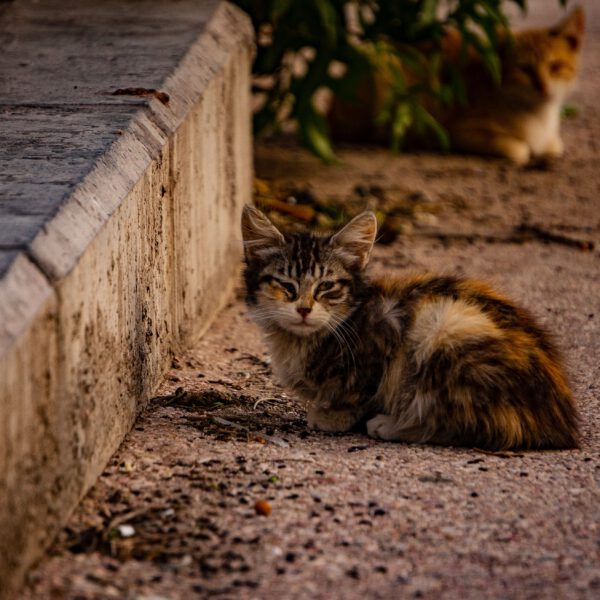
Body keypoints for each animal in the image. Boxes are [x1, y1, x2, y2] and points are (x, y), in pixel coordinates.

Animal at [241, 204, 580, 448]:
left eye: (327, 286)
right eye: (286, 285)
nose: (303, 309)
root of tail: (558, 422)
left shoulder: (383, 340)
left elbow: (360, 389)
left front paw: (334, 415)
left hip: (443, 325)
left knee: (481, 426)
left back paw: (393, 425)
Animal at [328, 7, 584, 166]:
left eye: (555, 66)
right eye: (525, 69)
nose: (543, 88)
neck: (539, 115)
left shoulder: (552, 141)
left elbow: (554, 146)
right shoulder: (457, 131)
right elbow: (519, 150)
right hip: (383, 64)